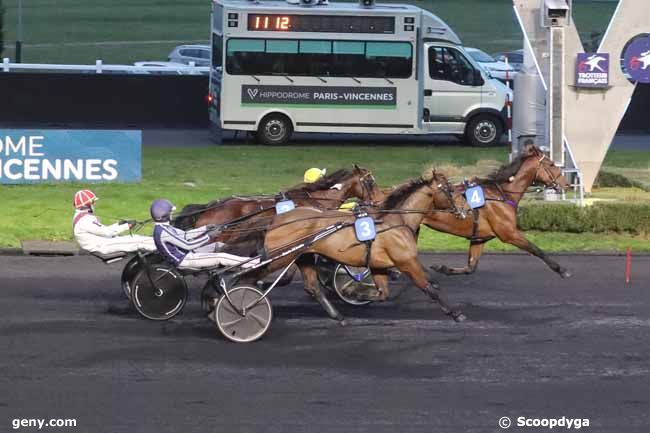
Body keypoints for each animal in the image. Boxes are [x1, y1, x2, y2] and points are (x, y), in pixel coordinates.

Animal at [260, 167, 464, 322]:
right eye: (450, 189)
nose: (464, 209)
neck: (397, 220)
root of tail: (279, 219)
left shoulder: (379, 265)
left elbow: (384, 293)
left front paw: (355, 293)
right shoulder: (406, 262)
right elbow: (428, 288)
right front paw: (456, 313)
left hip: (303, 256)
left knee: (312, 286)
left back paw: (338, 316)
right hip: (281, 255)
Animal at [422, 145, 568, 276]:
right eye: (551, 164)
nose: (567, 184)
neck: (502, 195)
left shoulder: (479, 238)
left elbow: (470, 267)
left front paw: (442, 268)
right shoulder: (509, 234)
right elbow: (536, 249)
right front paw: (561, 270)